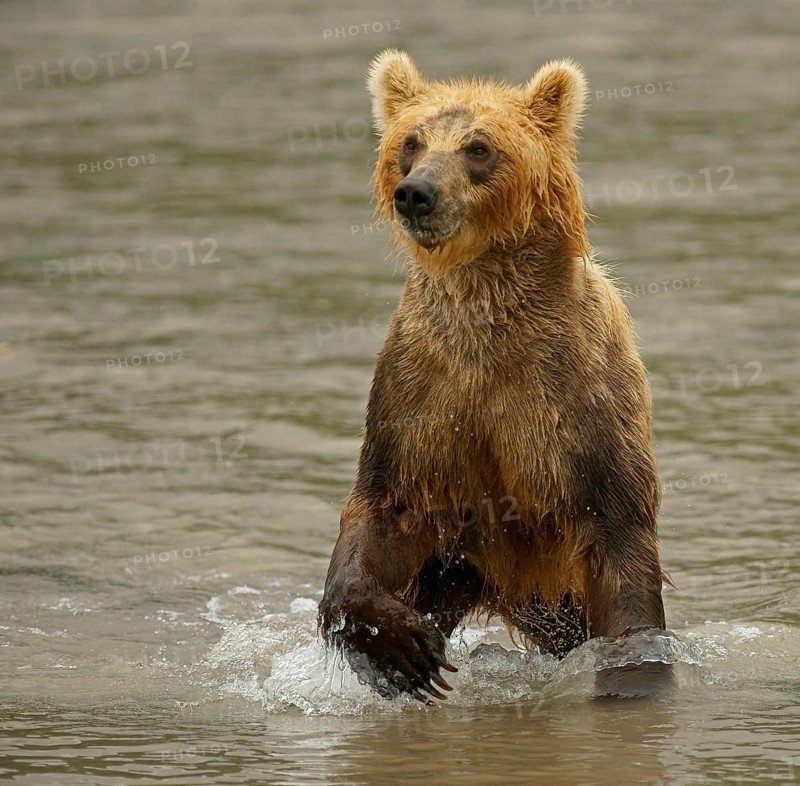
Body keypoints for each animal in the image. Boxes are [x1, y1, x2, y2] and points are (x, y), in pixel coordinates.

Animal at [318, 50, 669, 704]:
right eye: (411, 141)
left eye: (478, 147)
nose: (416, 193)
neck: (486, 327)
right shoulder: (422, 391)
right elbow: (384, 506)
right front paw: (400, 648)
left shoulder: (576, 403)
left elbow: (620, 540)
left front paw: (632, 674)